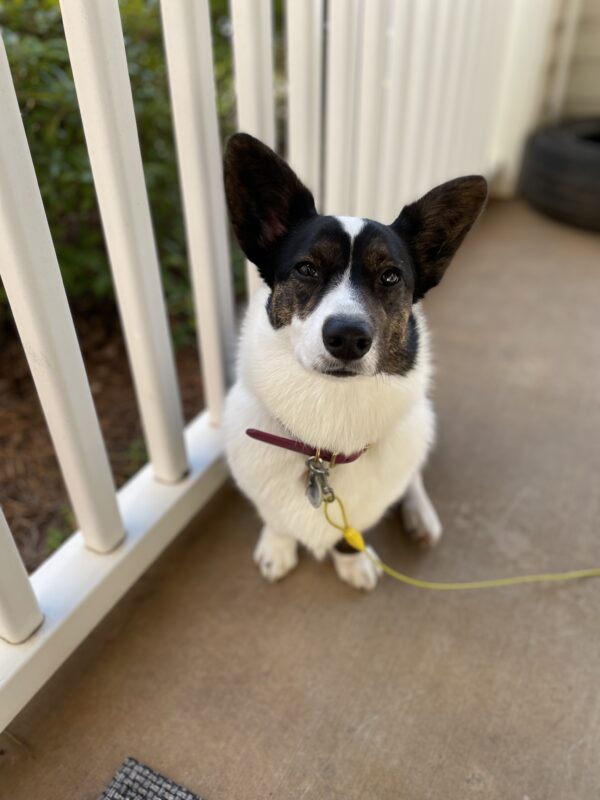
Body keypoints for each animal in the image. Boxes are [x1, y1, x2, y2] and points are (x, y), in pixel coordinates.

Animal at [223, 134, 486, 592]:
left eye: (390, 277)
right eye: (307, 268)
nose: (348, 337)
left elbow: (353, 527)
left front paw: (352, 559)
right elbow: (275, 516)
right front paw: (277, 545)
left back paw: (421, 516)